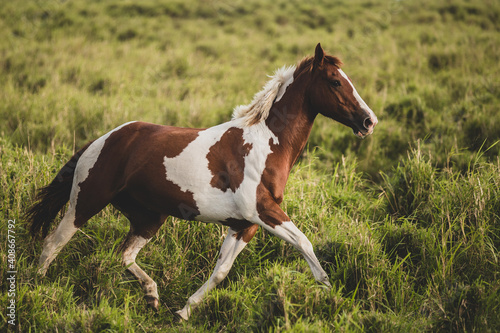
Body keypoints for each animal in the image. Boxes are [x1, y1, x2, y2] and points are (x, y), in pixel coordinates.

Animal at [27, 44, 376, 320]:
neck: (265, 144)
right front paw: (331, 295)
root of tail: (102, 140)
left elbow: (220, 271)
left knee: (125, 255)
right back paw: (38, 290)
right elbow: (304, 243)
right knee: (53, 244)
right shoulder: (262, 211)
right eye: (335, 81)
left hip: (149, 217)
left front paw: (184, 311)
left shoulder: (244, 224)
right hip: (86, 201)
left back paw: (153, 297)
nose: (368, 121)